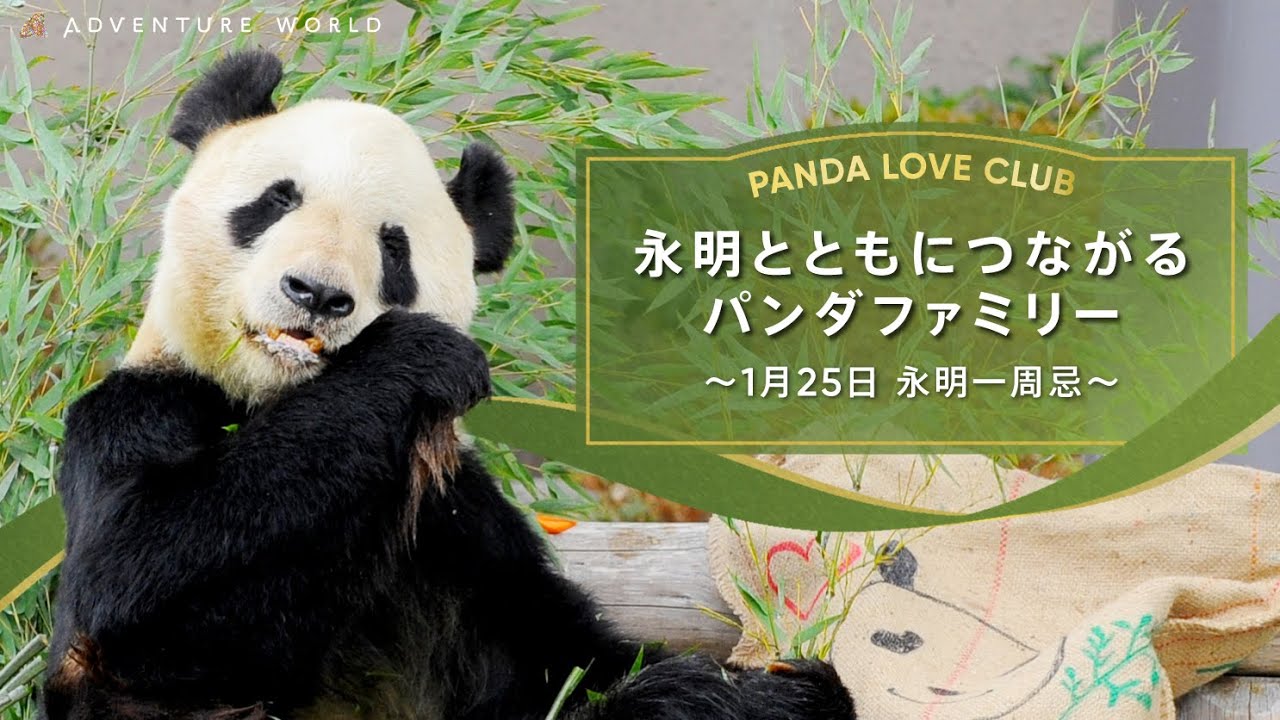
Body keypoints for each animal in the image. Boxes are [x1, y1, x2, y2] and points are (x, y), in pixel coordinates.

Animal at [39, 51, 856, 720]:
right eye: (276, 200)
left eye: (392, 247)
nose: (317, 294)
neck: (277, 395)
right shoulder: (140, 414)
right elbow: (136, 583)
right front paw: (413, 357)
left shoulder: (460, 527)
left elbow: (571, 662)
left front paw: (771, 692)